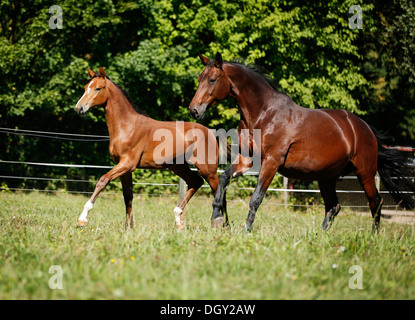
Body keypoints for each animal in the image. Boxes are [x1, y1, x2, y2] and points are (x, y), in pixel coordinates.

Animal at [75, 67, 224, 229]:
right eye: (85, 87)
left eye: (98, 88)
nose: (79, 108)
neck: (127, 126)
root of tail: (210, 132)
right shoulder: (124, 168)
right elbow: (128, 196)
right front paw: (129, 227)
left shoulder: (127, 164)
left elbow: (102, 180)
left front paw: (82, 218)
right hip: (179, 167)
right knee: (196, 182)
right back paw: (179, 220)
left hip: (208, 170)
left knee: (219, 192)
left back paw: (222, 225)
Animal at [189, 53, 415, 232]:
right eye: (200, 78)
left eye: (212, 79)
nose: (194, 110)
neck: (264, 113)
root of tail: (364, 128)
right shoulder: (247, 160)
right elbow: (223, 179)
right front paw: (217, 218)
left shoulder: (271, 162)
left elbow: (255, 198)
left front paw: (246, 231)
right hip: (327, 177)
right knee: (333, 206)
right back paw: (321, 236)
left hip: (365, 172)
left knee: (375, 202)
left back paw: (373, 236)